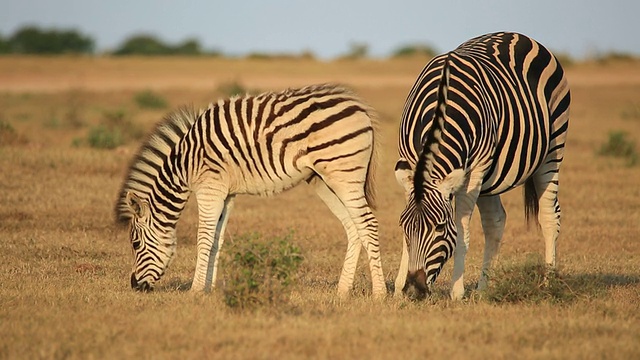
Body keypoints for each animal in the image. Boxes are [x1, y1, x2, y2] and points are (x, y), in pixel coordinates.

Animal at [115, 84, 384, 298]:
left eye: (135, 243)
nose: (135, 286)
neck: (185, 164)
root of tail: (358, 105)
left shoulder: (209, 188)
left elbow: (203, 237)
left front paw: (195, 290)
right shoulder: (226, 194)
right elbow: (217, 239)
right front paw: (209, 290)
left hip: (344, 174)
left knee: (368, 223)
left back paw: (379, 294)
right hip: (322, 179)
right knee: (353, 226)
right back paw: (342, 291)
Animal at [396, 31, 568, 300]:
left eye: (440, 227)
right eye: (404, 227)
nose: (414, 290)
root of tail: (517, 34)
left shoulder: (473, 173)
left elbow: (462, 231)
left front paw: (456, 292)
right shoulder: (410, 167)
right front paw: (395, 288)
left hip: (552, 149)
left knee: (550, 217)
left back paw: (548, 283)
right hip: (490, 177)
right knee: (495, 222)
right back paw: (483, 288)